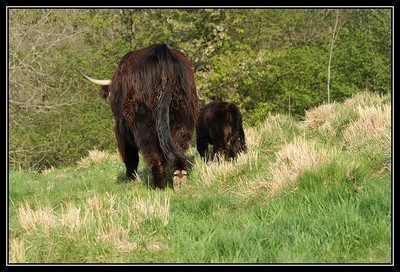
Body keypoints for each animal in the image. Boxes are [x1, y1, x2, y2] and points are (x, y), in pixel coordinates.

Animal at [77, 43, 198, 191]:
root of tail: (161, 50)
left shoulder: (121, 128)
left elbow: (130, 155)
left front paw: (130, 179)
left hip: (142, 122)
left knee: (151, 153)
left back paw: (158, 186)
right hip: (184, 114)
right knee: (179, 144)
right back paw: (179, 179)